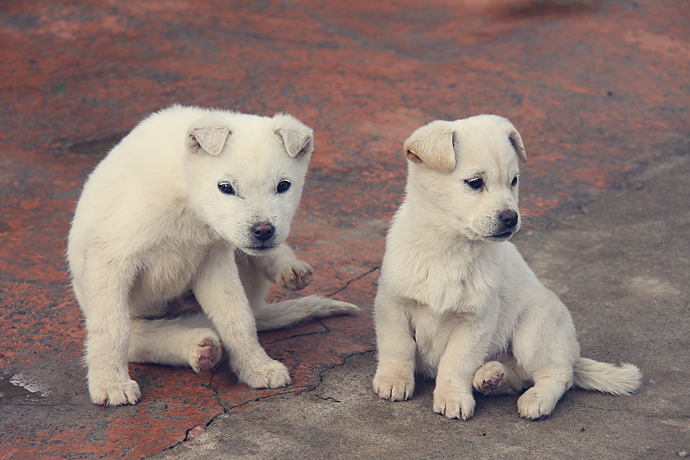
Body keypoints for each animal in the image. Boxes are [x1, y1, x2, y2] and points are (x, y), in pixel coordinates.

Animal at [67, 105, 358, 406]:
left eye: (283, 186)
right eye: (226, 187)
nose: (263, 231)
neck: (187, 198)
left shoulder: (214, 262)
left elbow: (237, 319)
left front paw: (257, 368)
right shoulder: (110, 261)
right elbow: (112, 330)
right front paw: (110, 383)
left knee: (251, 304)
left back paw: (289, 269)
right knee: (139, 338)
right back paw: (198, 348)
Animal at [370, 116, 640, 420]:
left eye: (514, 181)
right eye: (475, 182)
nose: (511, 218)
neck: (451, 247)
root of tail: (572, 354)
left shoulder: (476, 321)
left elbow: (456, 363)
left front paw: (453, 397)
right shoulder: (393, 304)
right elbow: (398, 346)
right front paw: (394, 380)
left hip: (534, 327)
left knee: (558, 375)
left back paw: (535, 398)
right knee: (517, 379)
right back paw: (490, 377)